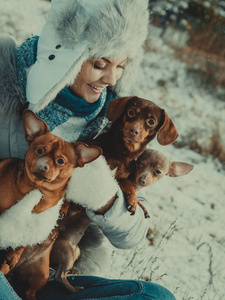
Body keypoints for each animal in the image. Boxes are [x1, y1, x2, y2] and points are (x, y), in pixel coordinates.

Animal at [0, 110, 101, 300]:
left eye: (60, 161)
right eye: (39, 150)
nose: (43, 165)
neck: (36, 190)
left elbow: (25, 237)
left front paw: (15, 253)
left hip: (40, 274)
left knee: (31, 289)